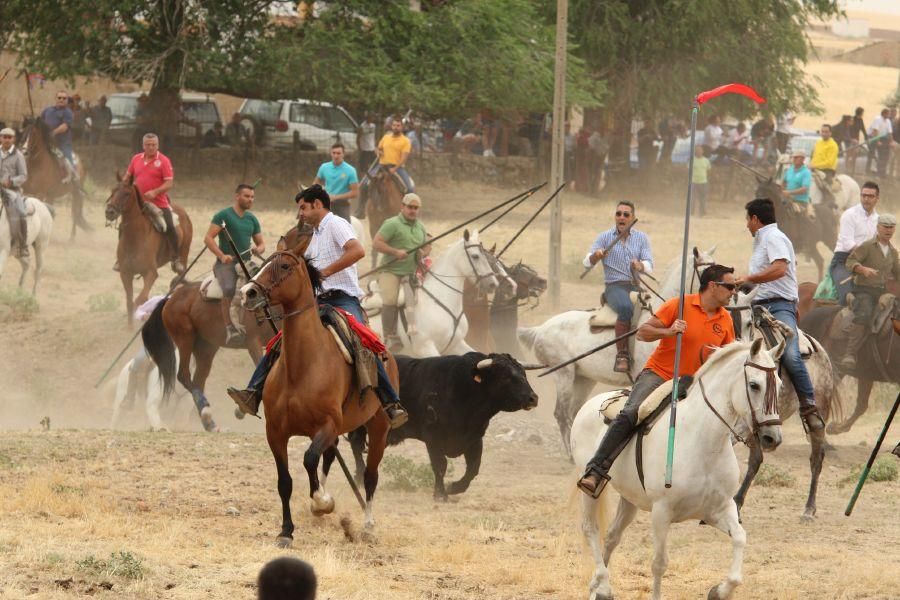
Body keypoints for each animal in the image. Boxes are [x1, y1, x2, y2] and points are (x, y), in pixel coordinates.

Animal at [106, 173, 192, 324]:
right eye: (113, 191)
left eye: (127, 193)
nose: (109, 212)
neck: (135, 238)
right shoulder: (126, 273)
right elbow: (130, 303)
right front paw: (130, 326)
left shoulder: (150, 273)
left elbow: (140, 300)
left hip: (184, 255)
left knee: (181, 275)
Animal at [138, 224, 312, 432]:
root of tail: (170, 299)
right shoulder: (253, 343)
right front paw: (244, 407)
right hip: (185, 338)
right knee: (184, 375)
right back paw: (206, 413)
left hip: (206, 346)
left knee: (198, 379)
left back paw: (209, 423)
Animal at [241, 237, 396, 548]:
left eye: (284, 266)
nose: (248, 293)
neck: (302, 366)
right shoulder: (276, 432)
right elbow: (285, 481)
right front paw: (286, 531)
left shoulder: (328, 424)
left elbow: (309, 458)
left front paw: (323, 501)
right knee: (329, 459)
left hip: (379, 427)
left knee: (370, 475)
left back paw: (367, 524)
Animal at [572, 338, 784, 600]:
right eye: (754, 385)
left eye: (781, 386)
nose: (772, 438)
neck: (704, 444)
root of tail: (589, 404)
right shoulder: (662, 513)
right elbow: (659, 563)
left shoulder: (717, 510)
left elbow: (740, 540)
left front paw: (718, 591)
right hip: (589, 488)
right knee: (590, 529)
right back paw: (602, 583)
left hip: (630, 498)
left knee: (611, 536)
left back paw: (598, 587)